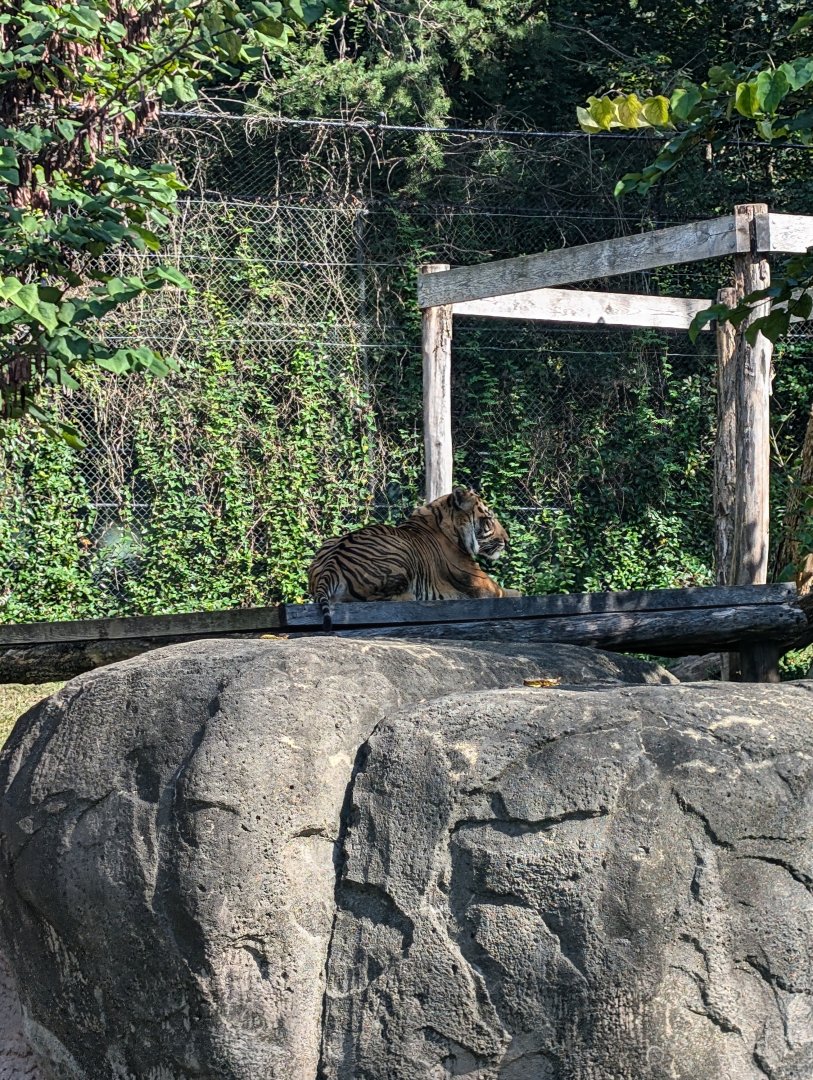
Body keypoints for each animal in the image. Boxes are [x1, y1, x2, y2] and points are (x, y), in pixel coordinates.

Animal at [307, 486, 521, 630]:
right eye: (489, 519)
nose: (507, 540)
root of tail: (331, 566)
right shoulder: (487, 586)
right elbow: (514, 592)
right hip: (401, 552)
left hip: (330, 542)